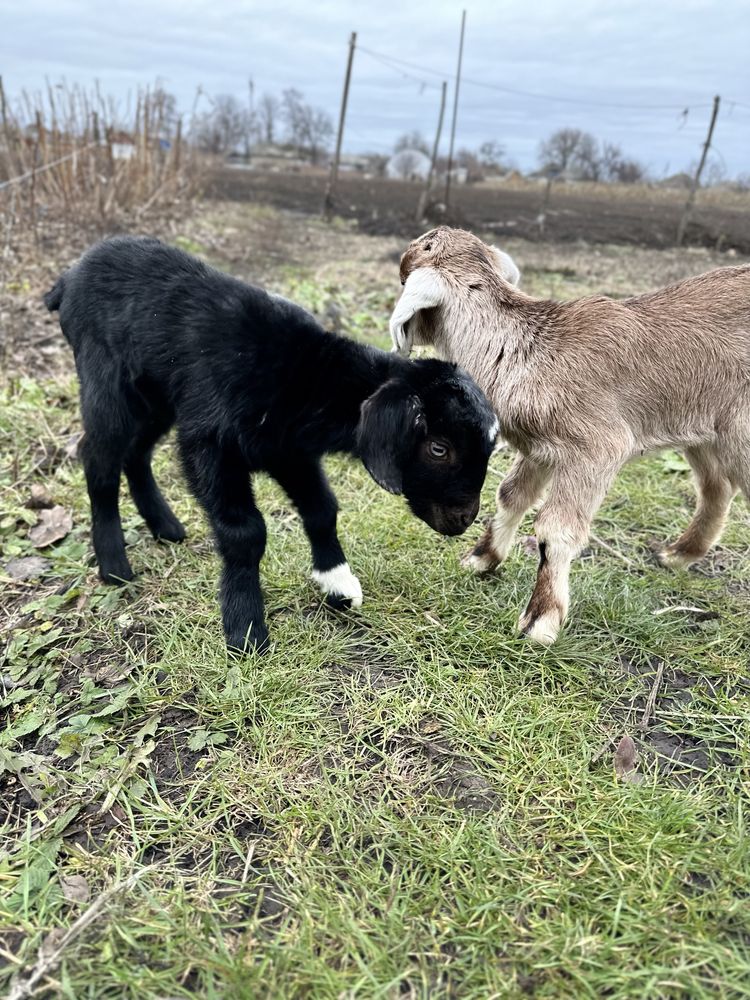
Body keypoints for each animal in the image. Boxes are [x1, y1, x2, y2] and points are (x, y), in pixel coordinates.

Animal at [44, 236, 496, 656]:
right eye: (438, 448)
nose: (465, 518)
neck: (306, 376)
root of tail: (69, 276)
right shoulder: (212, 445)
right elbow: (245, 532)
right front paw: (245, 628)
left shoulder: (288, 450)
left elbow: (322, 509)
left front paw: (337, 584)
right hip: (107, 380)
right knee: (100, 460)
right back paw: (114, 564)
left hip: (156, 397)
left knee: (137, 453)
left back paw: (165, 526)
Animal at [390, 226, 750, 644]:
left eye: (404, 277)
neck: (527, 352)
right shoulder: (541, 449)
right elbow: (511, 495)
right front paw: (480, 560)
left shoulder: (597, 448)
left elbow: (555, 529)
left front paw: (540, 621)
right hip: (703, 427)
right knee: (717, 486)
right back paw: (678, 554)